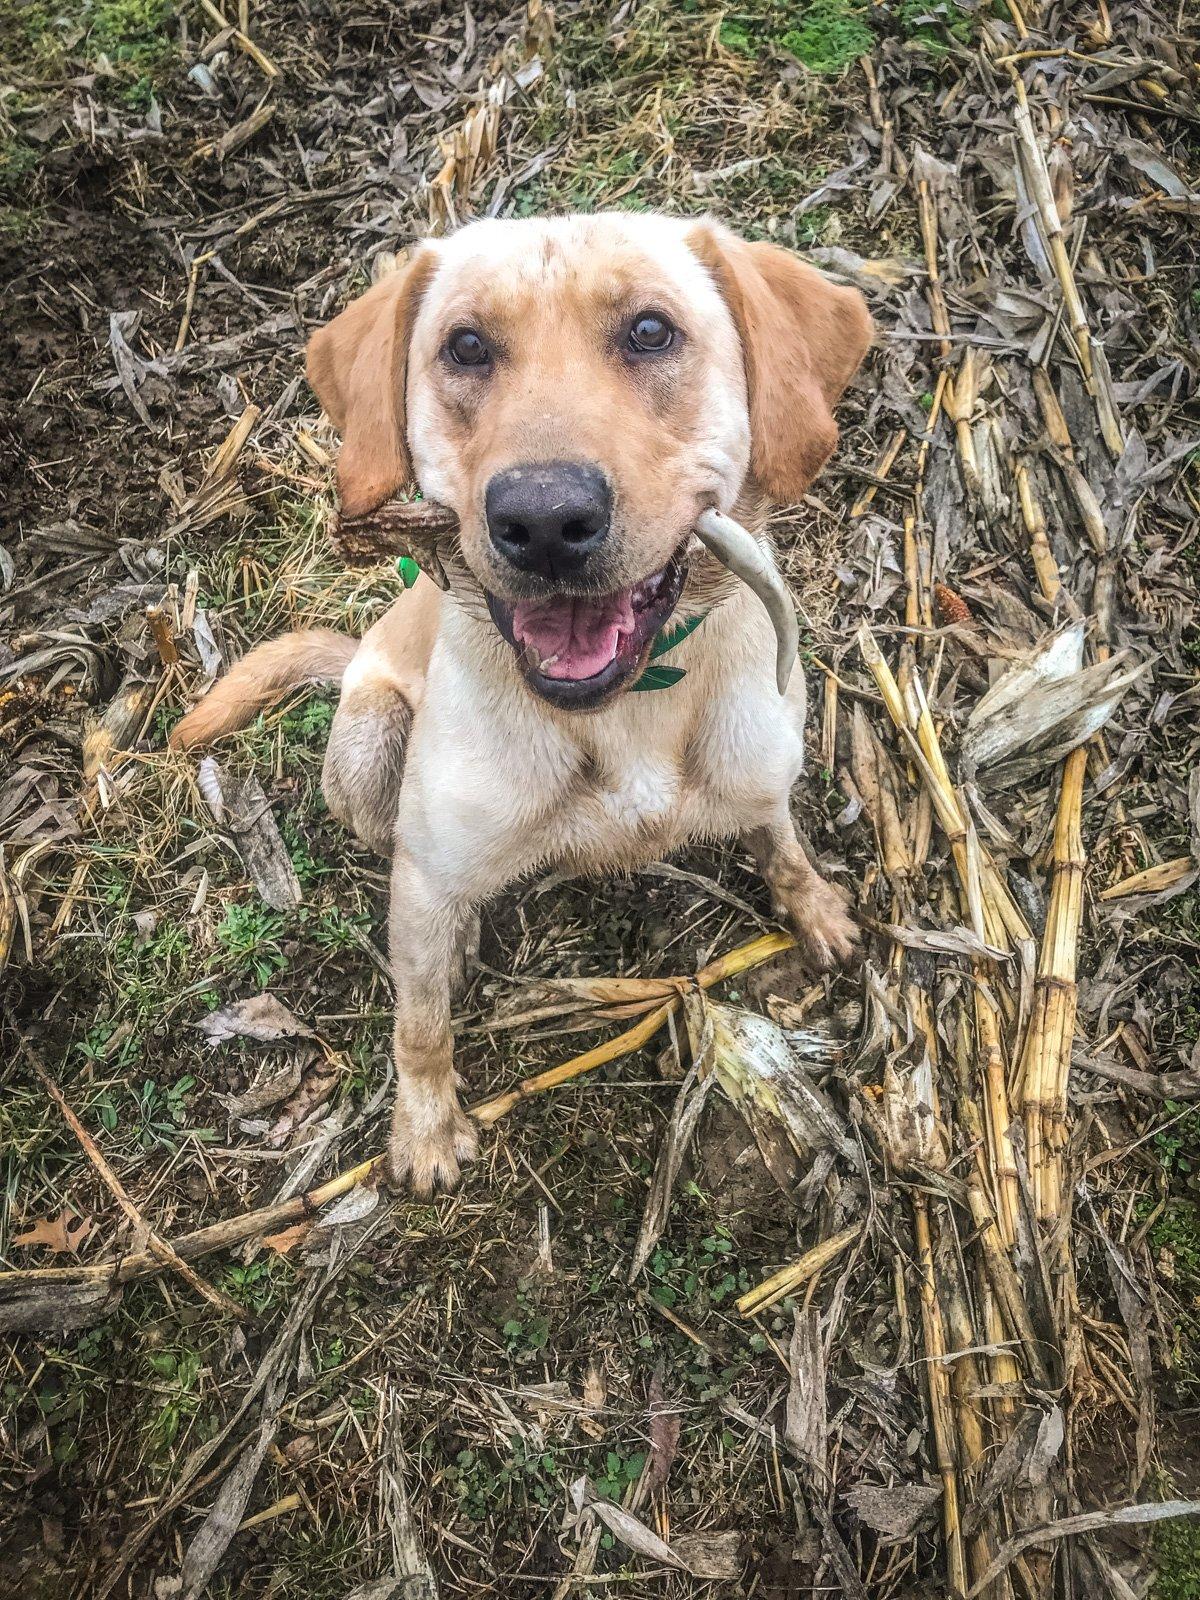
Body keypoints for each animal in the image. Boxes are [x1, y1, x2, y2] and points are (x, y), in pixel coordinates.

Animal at [169, 209, 876, 1190]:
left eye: (650, 331)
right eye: (466, 346)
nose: (543, 519)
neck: (623, 712)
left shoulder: (761, 774)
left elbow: (782, 846)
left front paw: (813, 908)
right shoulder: (430, 873)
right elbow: (418, 1022)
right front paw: (426, 1126)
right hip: (368, 748)